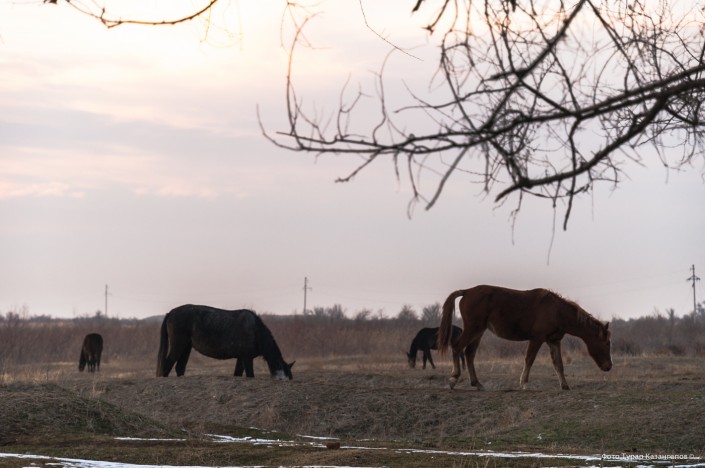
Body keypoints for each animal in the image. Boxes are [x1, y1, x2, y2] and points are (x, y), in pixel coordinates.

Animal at [156, 305, 294, 380]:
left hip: (186, 347)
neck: (255, 330)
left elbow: (238, 374)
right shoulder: (247, 358)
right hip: (178, 345)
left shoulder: (241, 358)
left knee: (179, 367)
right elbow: (250, 375)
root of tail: (170, 313)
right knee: (167, 366)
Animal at [438, 285, 612, 390]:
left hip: (479, 332)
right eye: (606, 343)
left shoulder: (553, 341)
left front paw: (565, 386)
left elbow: (558, 364)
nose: (609, 366)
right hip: (473, 329)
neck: (557, 311)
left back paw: (477, 383)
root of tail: (466, 291)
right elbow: (529, 359)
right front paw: (524, 383)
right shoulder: (537, 339)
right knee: (457, 347)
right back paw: (453, 379)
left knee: (469, 354)